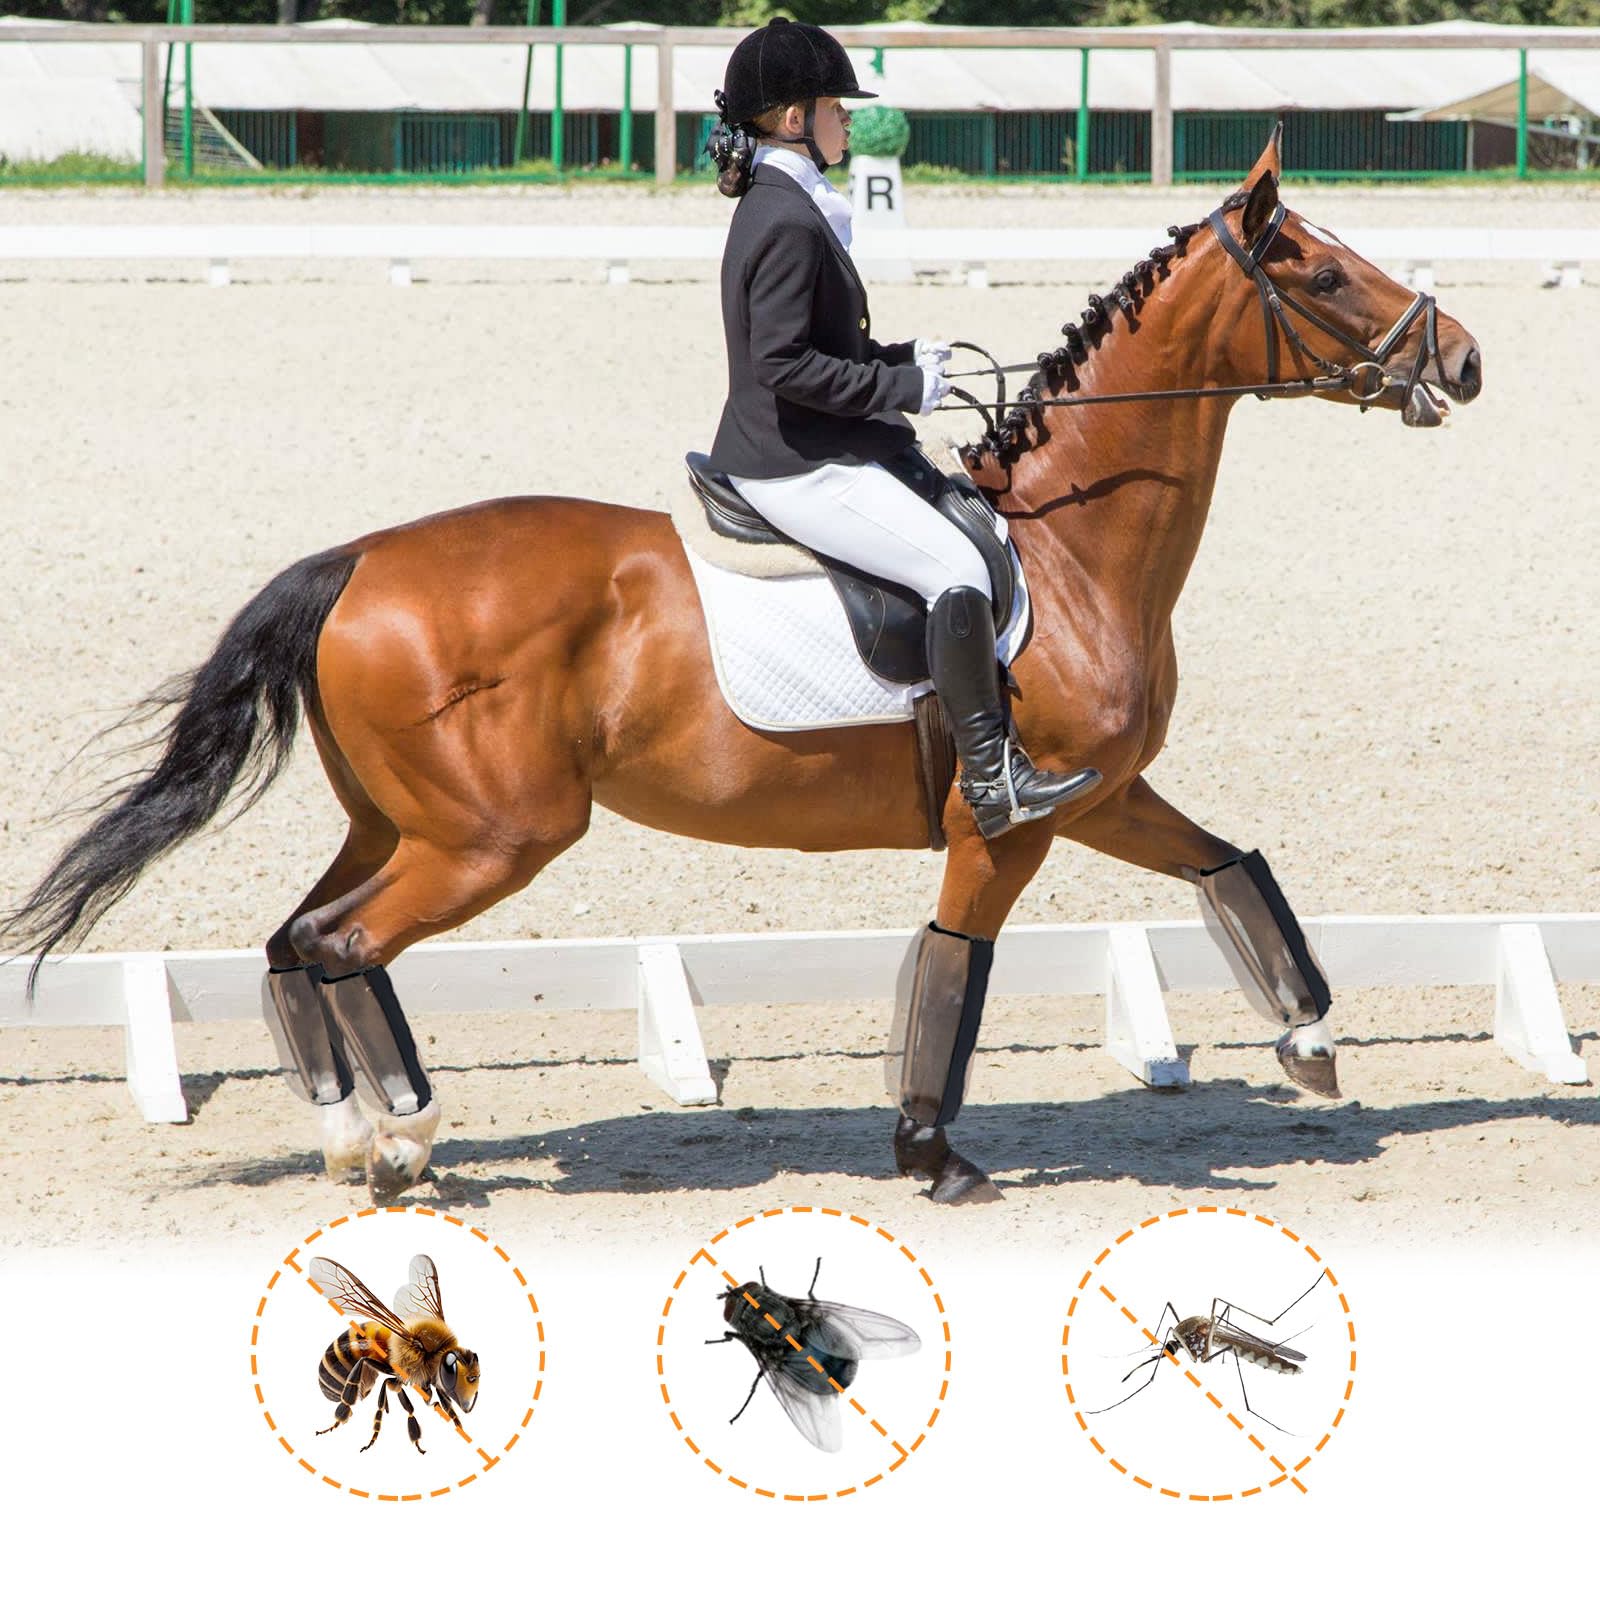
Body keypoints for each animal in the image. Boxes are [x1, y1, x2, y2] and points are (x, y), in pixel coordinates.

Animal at [3, 134, 1481, 1205]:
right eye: (1322, 272)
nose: (1462, 359)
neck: (1066, 553)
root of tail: (358, 561)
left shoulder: (1107, 796)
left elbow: (1234, 869)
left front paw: (1310, 1040)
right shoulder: (1008, 825)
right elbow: (951, 972)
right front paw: (932, 1156)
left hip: (400, 820)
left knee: (293, 943)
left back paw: (343, 1133)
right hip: (493, 838)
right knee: (337, 944)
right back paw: (401, 1142)